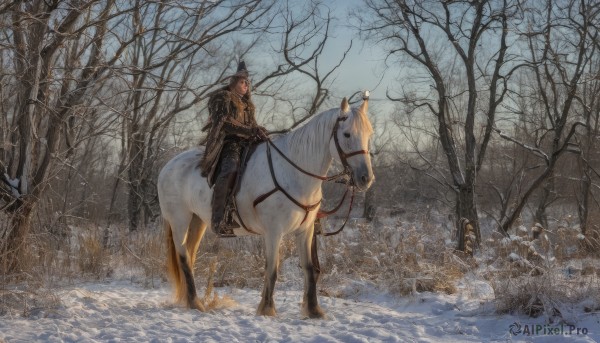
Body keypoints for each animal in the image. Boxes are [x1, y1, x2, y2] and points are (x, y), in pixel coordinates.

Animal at [159, 95, 376, 318]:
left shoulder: (305, 231)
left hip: (198, 220)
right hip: (179, 220)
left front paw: (313, 309)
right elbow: (272, 269)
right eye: (347, 134)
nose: (365, 178)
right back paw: (195, 303)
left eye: (369, 134)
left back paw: (191, 300)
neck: (294, 172)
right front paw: (267, 309)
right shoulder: (273, 231)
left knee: (190, 255)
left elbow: (309, 268)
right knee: (183, 257)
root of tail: (167, 166)